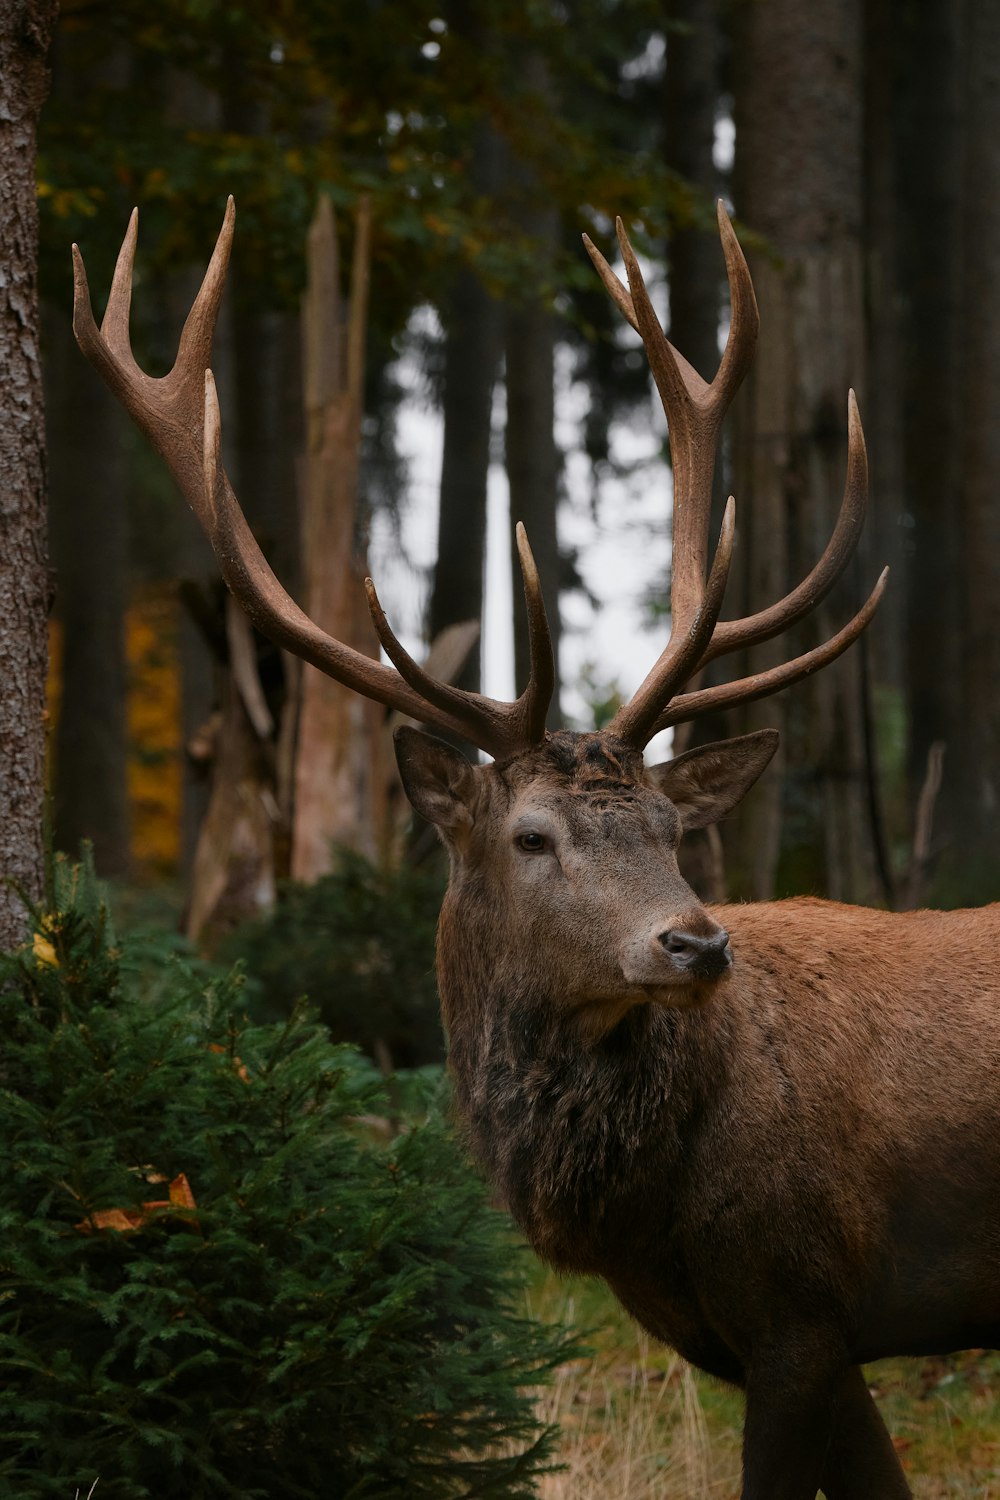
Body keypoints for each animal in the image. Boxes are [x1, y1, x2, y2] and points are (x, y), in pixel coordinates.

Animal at [70, 199, 1000, 1500]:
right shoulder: (804, 1326)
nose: (694, 943)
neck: (646, 1211)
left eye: (672, 830)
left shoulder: (803, 1299)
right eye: (531, 834)